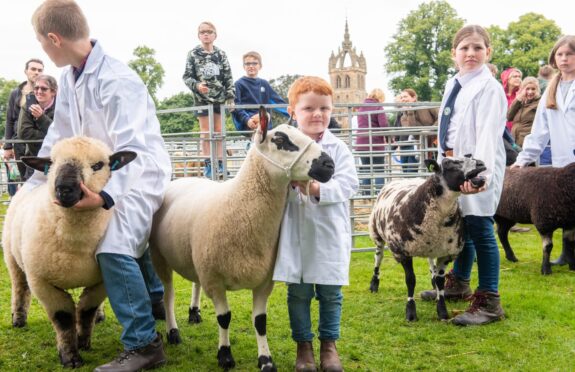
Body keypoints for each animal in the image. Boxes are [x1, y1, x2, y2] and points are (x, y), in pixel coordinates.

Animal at [150, 114, 338, 372]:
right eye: (280, 140)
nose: (329, 165)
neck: (238, 202)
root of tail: (182, 179)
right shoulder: (215, 281)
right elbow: (224, 318)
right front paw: (225, 356)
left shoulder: (263, 282)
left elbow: (260, 322)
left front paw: (266, 360)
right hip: (160, 257)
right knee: (168, 295)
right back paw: (173, 332)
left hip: (196, 258)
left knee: (195, 282)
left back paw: (194, 313)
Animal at [368, 155, 486, 322]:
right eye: (449, 163)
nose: (481, 163)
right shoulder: (403, 252)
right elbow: (410, 280)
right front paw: (411, 313)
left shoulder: (446, 253)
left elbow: (440, 281)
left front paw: (442, 311)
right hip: (376, 233)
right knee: (378, 257)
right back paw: (374, 284)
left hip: (432, 244)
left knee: (431, 264)